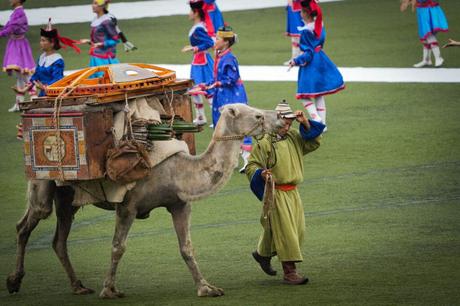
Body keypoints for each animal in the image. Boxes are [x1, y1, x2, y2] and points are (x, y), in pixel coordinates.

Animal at [5, 104, 282, 298]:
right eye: (257, 116)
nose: (280, 118)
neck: (178, 171)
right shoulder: (128, 205)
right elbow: (118, 247)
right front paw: (109, 290)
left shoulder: (180, 204)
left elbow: (187, 247)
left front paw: (206, 288)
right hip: (42, 182)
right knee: (26, 224)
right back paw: (13, 281)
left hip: (67, 197)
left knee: (59, 238)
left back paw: (78, 286)